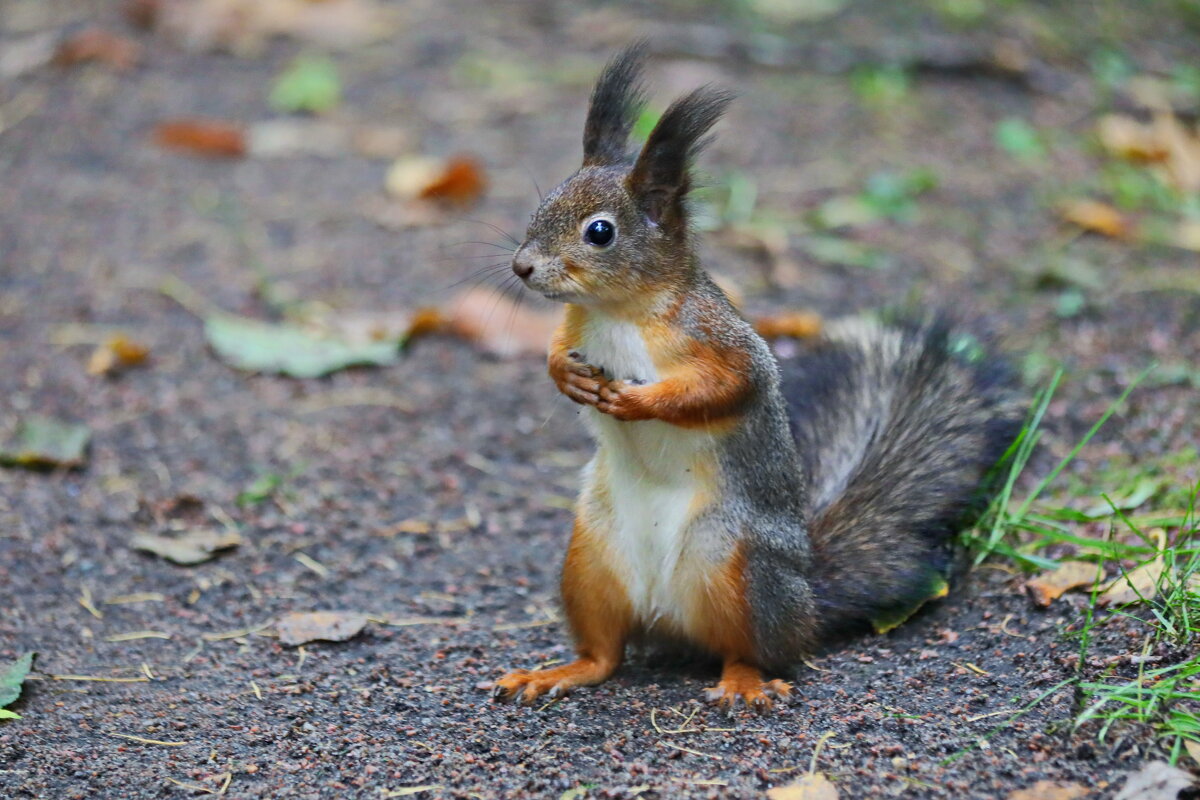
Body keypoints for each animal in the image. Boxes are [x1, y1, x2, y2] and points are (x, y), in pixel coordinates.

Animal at [487, 45, 1022, 714]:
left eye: (600, 231)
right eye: (545, 204)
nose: (521, 266)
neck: (617, 311)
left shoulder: (724, 340)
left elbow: (727, 387)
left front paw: (638, 401)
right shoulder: (576, 324)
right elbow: (557, 352)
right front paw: (568, 378)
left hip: (737, 566)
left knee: (753, 649)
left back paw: (743, 682)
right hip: (590, 562)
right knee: (605, 654)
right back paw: (560, 671)